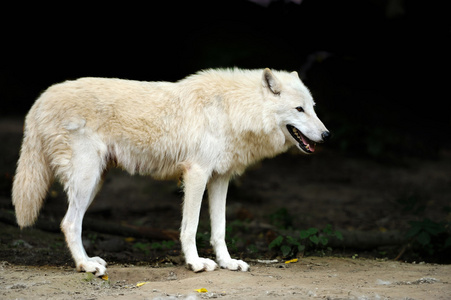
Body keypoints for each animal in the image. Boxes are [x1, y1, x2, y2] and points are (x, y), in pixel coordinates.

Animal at [10, 68, 328, 274]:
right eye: (299, 109)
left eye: (313, 107)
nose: (327, 135)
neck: (232, 109)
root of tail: (40, 100)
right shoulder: (196, 174)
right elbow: (190, 227)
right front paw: (196, 263)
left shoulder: (220, 178)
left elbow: (220, 229)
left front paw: (227, 263)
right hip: (86, 180)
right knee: (68, 223)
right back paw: (86, 266)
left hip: (94, 182)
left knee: (70, 222)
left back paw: (89, 261)